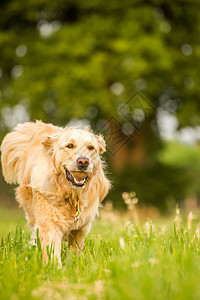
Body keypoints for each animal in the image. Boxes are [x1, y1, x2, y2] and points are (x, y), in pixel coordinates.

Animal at [0, 120, 111, 264]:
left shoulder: (81, 228)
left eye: (91, 148)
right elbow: (51, 251)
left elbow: (75, 252)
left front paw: (72, 266)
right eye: (70, 145)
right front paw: (55, 268)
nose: (83, 161)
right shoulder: (49, 223)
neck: (71, 195)